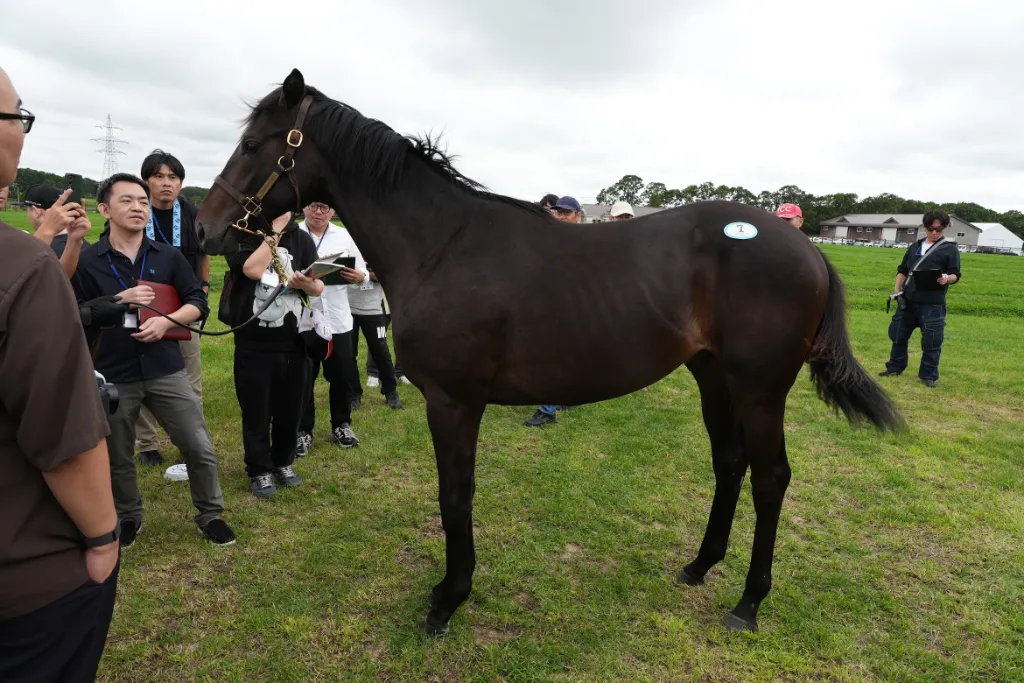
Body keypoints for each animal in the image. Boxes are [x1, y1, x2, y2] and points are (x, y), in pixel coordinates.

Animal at [196, 68, 904, 635]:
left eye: (253, 144)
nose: (205, 230)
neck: (442, 246)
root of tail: (806, 247)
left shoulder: (454, 402)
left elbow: (455, 497)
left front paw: (447, 600)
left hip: (760, 387)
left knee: (771, 477)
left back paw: (749, 603)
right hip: (713, 376)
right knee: (729, 465)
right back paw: (700, 566)